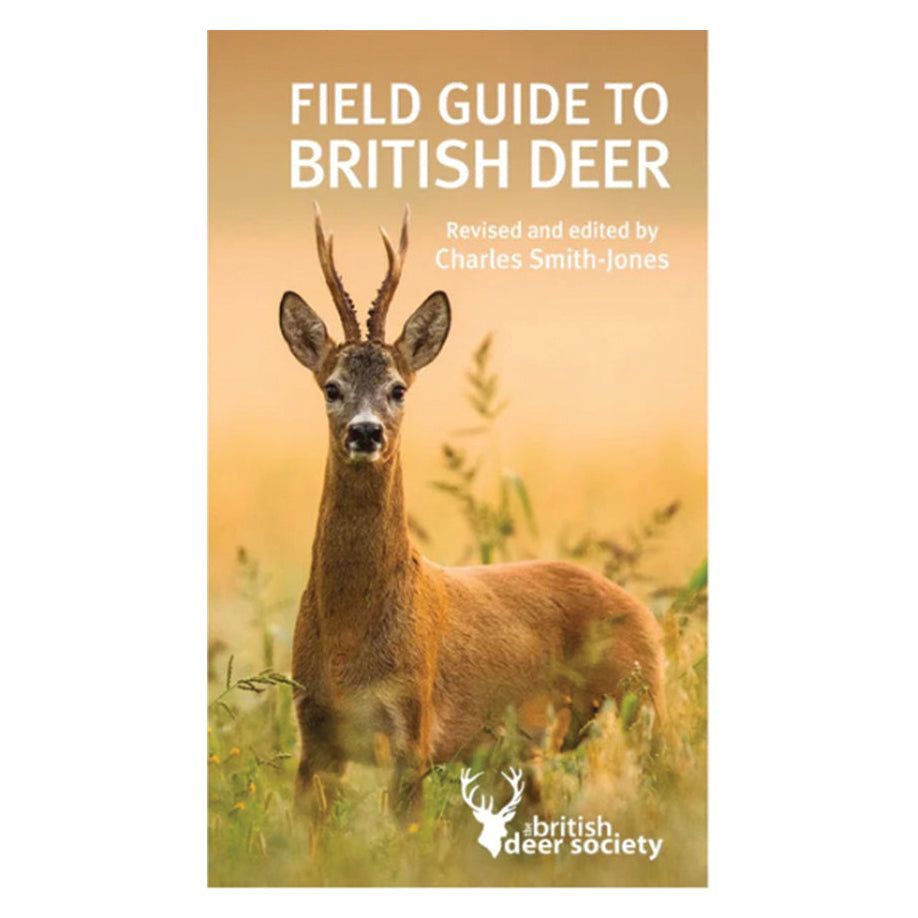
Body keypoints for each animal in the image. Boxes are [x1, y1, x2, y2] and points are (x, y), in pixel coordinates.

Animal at [279, 205, 667, 816]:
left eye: (398, 388)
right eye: (331, 387)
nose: (365, 432)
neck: (350, 640)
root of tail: (643, 611)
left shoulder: (412, 729)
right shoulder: (313, 738)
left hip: (641, 703)